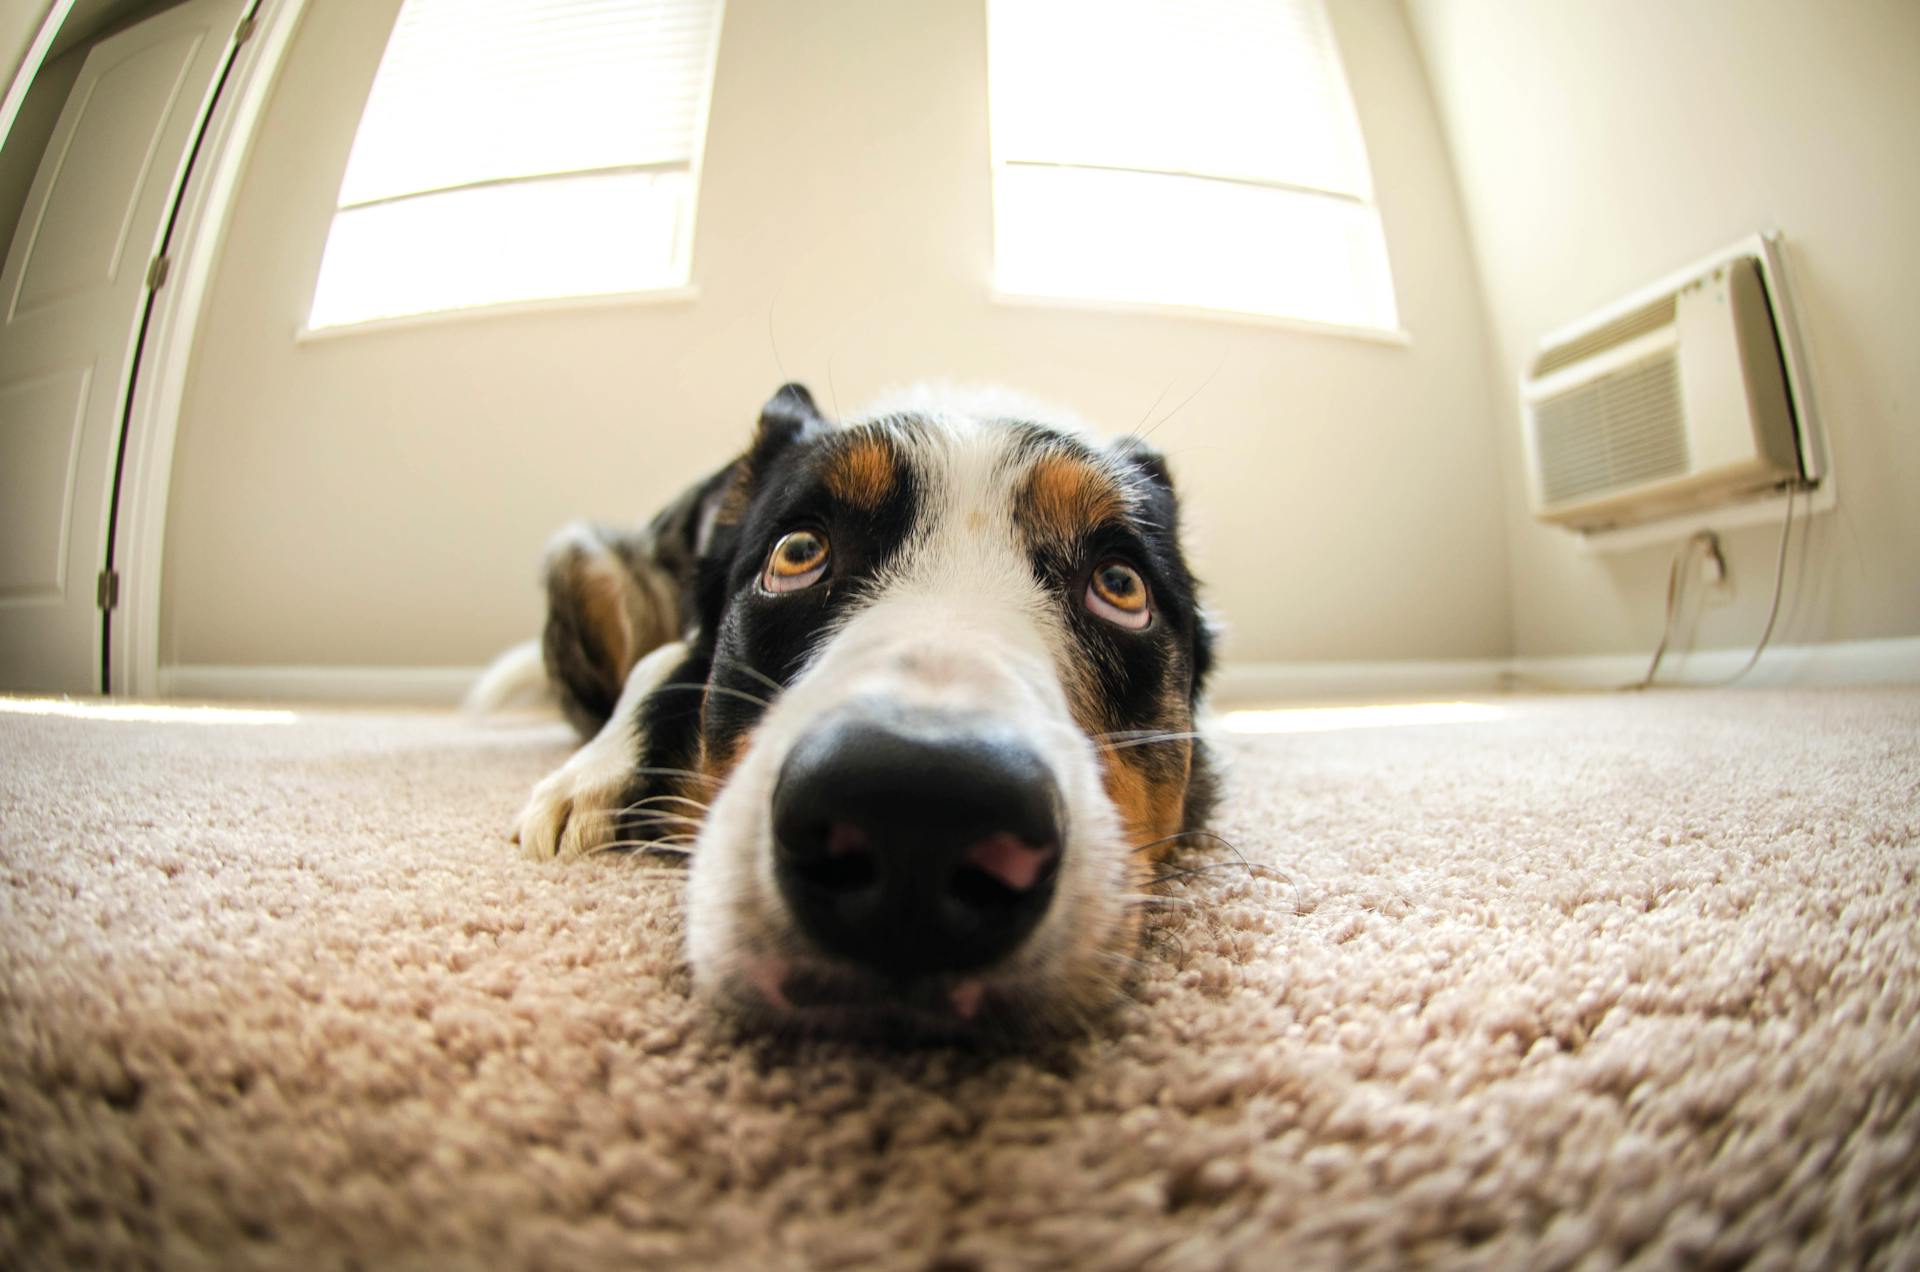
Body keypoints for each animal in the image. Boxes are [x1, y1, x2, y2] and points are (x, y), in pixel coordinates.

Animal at [495, 384, 1213, 1045]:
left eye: (1121, 587)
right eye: (796, 553)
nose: (919, 811)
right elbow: (661, 658)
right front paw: (587, 779)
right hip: (585, 563)